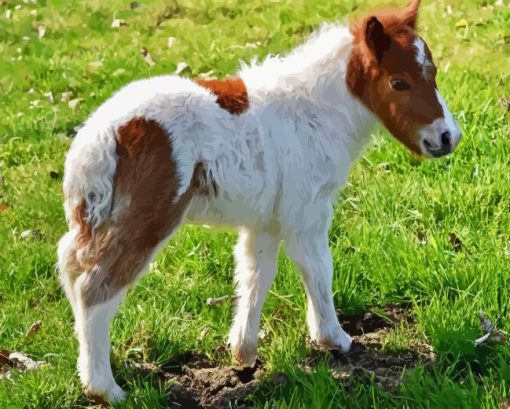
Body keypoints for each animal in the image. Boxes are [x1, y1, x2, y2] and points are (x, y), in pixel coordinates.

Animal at [56, 0, 462, 400]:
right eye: (399, 82)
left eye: (434, 72)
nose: (448, 137)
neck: (315, 112)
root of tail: (101, 138)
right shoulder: (308, 211)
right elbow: (317, 267)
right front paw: (333, 339)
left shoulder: (265, 220)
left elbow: (256, 274)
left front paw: (244, 353)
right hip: (147, 220)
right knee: (96, 288)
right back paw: (105, 389)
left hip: (97, 221)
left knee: (73, 272)